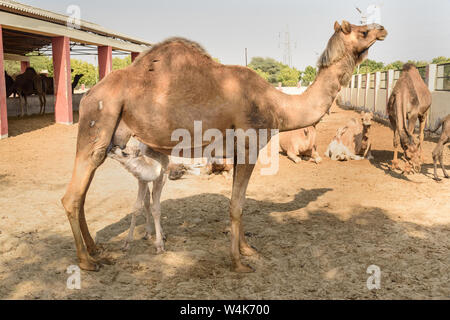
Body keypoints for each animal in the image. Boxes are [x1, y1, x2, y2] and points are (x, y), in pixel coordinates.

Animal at [61, 20, 388, 272]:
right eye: (361, 30)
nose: (382, 29)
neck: (278, 105)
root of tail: (89, 94)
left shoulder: (237, 152)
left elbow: (237, 203)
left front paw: (248, 249)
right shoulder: (250, 146)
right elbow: (236, 205)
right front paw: (238, 262)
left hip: (109, 134)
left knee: (82, 192)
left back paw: (96, 249)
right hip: (98, 119)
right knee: (71, 196)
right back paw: (87, 261)